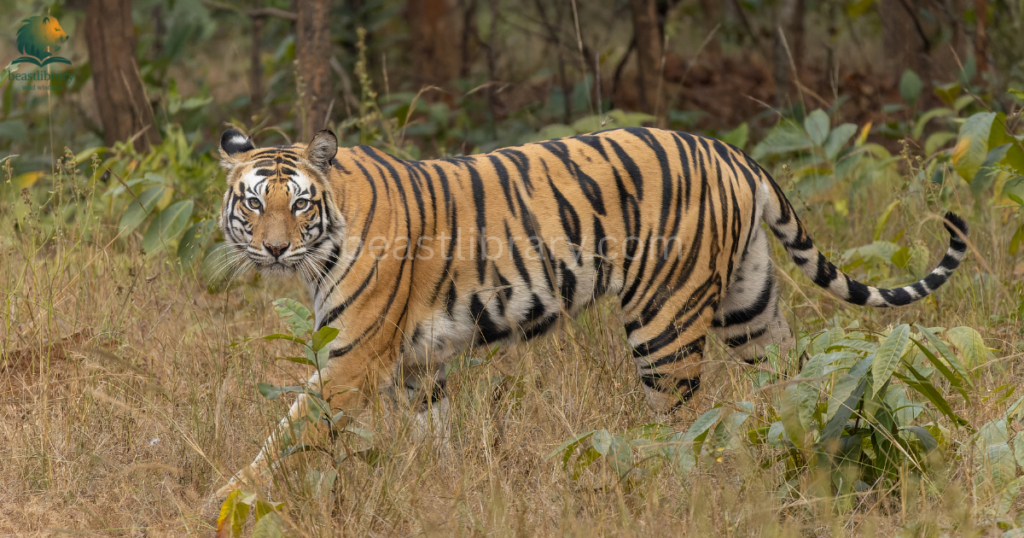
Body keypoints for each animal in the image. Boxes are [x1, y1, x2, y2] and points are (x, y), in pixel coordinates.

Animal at [214, 126, 968, 495]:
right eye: (253, 202)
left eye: (299, 203)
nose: (274, 249)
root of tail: (732, 152)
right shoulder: (416, 367)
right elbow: (437, 437)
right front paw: (447, 486)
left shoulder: (353, 360)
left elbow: (281, 439)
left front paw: (225, 501)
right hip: (750, 307)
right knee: (794, 382)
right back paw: (803, 454)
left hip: (666, 323)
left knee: (682, 426)